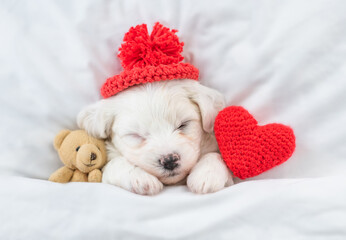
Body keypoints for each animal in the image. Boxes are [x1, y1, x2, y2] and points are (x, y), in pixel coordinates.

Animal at [75, 79, 232, 195]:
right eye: (135, 135)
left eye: (183, 125)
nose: (169, 160)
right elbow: (115, 163)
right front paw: (140, 178)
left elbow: (216, 155)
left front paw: (207, 174)